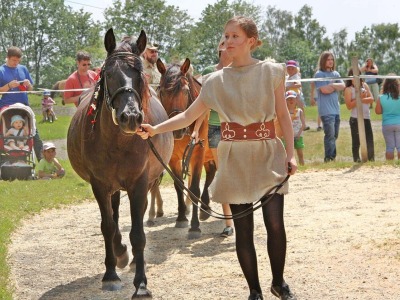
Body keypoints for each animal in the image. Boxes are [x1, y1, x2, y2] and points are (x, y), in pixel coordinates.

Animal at [66, 28, 173, 298]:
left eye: (140, 75)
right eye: (109, 74)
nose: (131, 117)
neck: (117, 142)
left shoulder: (139, 184)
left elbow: (138, 234)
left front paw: (141, 283)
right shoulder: (100, 185)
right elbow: (108, 227)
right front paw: (111, 273)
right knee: (113, 219)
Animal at [156, 58, 212, 239]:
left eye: (186, 91)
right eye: (162, 91)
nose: (177, 130)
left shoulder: (197, 153)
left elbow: (194, 188)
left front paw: (194, 226)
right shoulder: (173, 158)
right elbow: (179, 185)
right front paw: (181, 218)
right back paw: (205, 208)